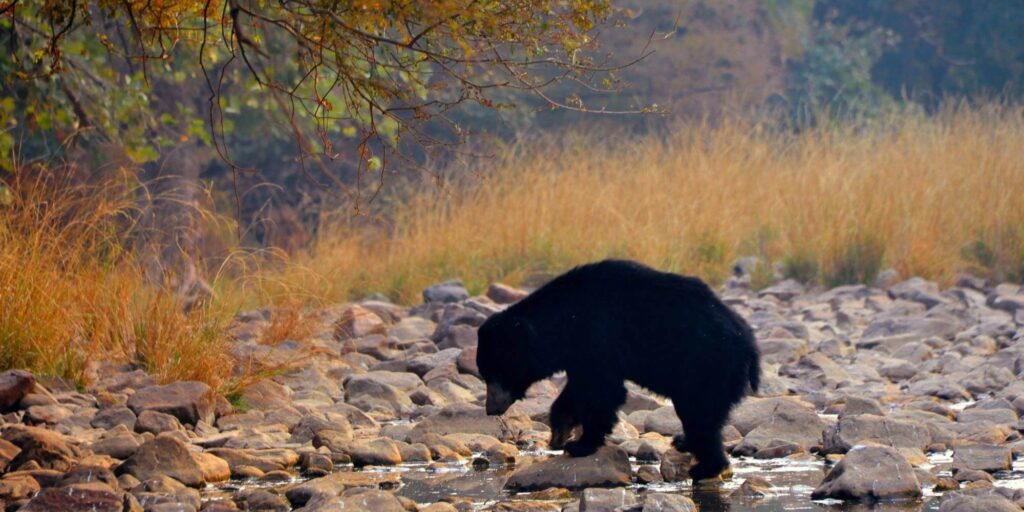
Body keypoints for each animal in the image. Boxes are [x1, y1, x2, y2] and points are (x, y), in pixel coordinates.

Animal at [475, 260, 757, 479]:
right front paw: (561, 431)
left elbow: (602, 391)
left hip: (704, 365)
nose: (491, 408)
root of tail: (747, 342)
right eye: (484, 374)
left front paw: (580, 444)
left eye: (496, 372)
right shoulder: (579, 354)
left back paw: (705, 466)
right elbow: (579, 389)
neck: (565, 321)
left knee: (699, 413)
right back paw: (684, 441)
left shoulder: (599, 336)